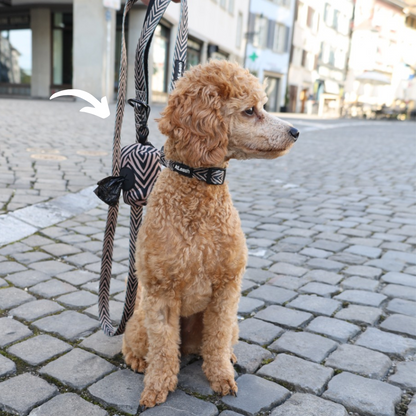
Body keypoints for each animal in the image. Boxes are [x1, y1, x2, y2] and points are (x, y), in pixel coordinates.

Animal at [122, 60, 298, 408]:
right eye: (249, 111)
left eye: (263, 106)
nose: (295, 131)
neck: (198, 190)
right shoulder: (161, 294)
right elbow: (163, 349)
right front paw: (157, 386)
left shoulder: (226, 290)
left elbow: (215, 340)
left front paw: (221, 377)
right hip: (139, 320)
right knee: (135, 345)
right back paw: (137, 361)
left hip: (229, 325)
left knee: (216, 342)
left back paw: (226, 357)